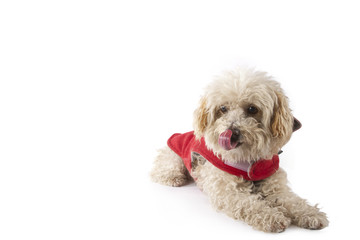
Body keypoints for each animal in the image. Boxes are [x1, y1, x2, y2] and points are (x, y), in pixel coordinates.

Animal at [150, 67, 330, 232]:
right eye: (223, 108)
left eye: (252, 109)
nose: (231, 132)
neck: (249, 160)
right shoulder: (227, 191)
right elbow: (250, 204)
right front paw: (271, 217)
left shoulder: (276, 185)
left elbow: (292, 200)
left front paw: (309, 213)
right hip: (173, 156)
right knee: (164, 169)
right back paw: (174, 178)